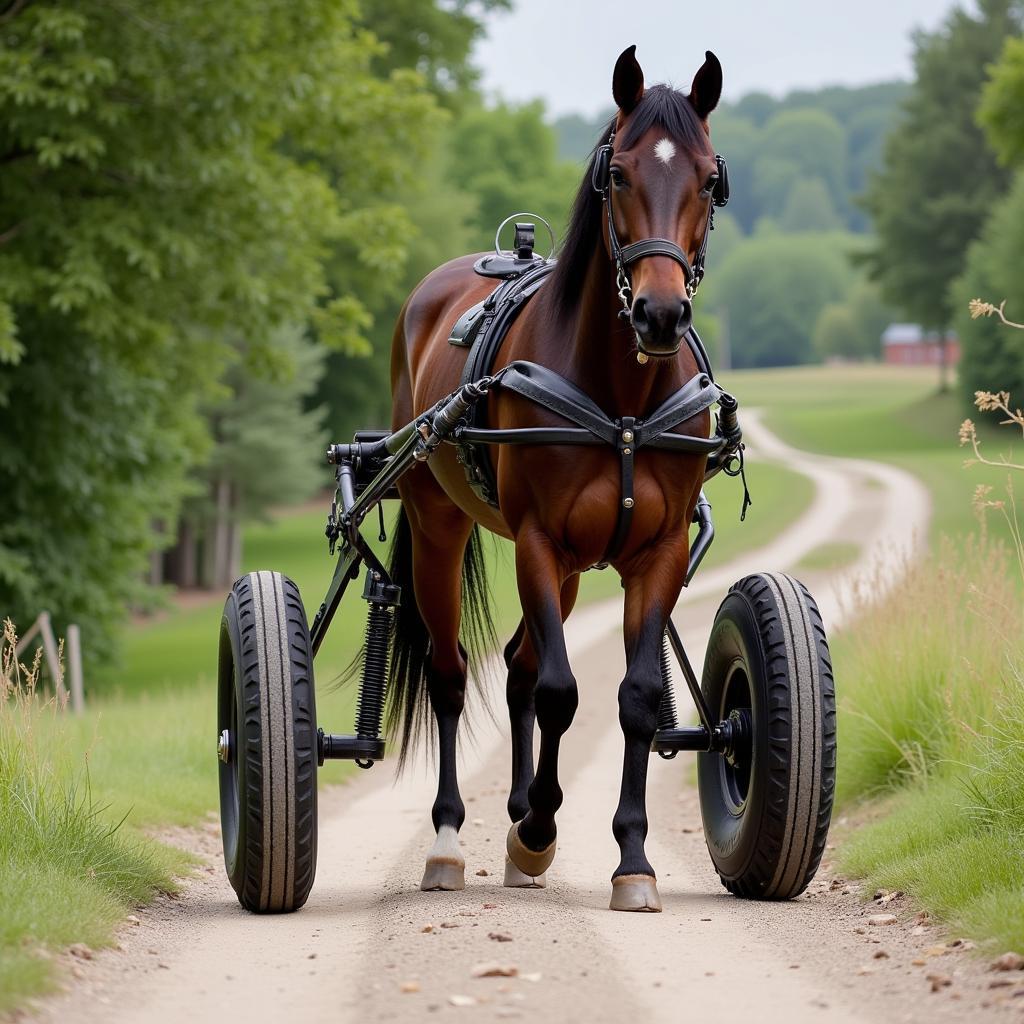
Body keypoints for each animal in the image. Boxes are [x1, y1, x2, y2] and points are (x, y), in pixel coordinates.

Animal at [387, 46, 724, 913]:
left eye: (708, 177)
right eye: (620, 174)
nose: (660, 315)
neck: (623, 399)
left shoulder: (656, 553)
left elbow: (634, 697)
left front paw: (632, 858)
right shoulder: (538, 540)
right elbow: (561, 693)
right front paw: (536, 830)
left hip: (574, 567)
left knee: (515, 664)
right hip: (441, 527)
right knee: (452, 675)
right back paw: (450, 839)